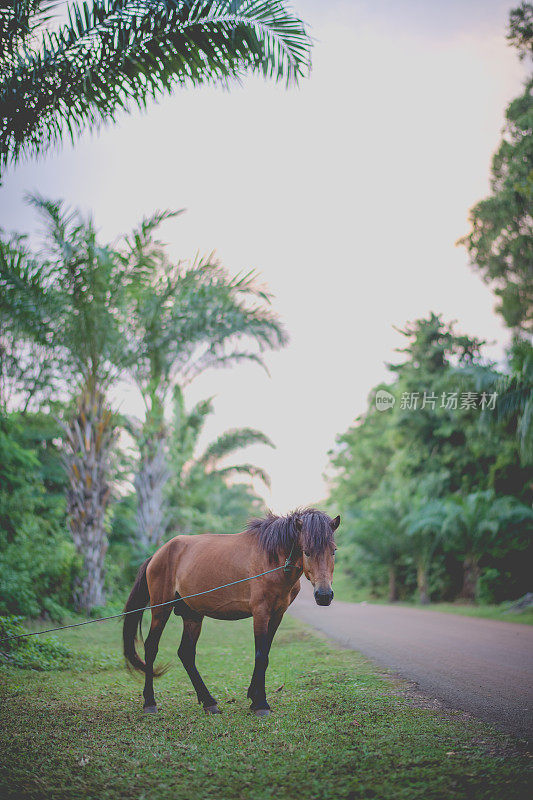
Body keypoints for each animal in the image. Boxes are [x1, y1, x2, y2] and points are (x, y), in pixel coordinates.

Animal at [122, 510, 338, 716]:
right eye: (306, 552)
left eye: (334, 551)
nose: (324, 595)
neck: (271, 560)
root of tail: (158, 554)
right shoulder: (260, 613)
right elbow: (261, 655)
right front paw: (261, 704)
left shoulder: (278, 614)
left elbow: (266, 653)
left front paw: (254, 697)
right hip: (161, 610)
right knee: (151, 648)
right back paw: (150, 702)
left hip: (192, 615)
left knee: (186, 653)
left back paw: (209, 702)